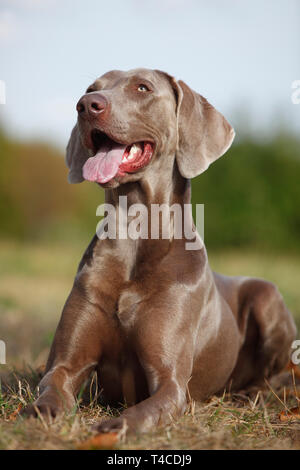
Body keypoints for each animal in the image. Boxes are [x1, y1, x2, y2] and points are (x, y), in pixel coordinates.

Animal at [23, 69, 296, 434]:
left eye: (143, 88)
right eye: (92, 88)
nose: (86, 105)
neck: (134, 234)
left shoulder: (170, 380)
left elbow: (147, 409)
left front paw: (114, 427)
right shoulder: (65, 365)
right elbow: (53, 385)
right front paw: (43, 412)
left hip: (267, 296)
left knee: (273, 378)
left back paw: (250, 395)